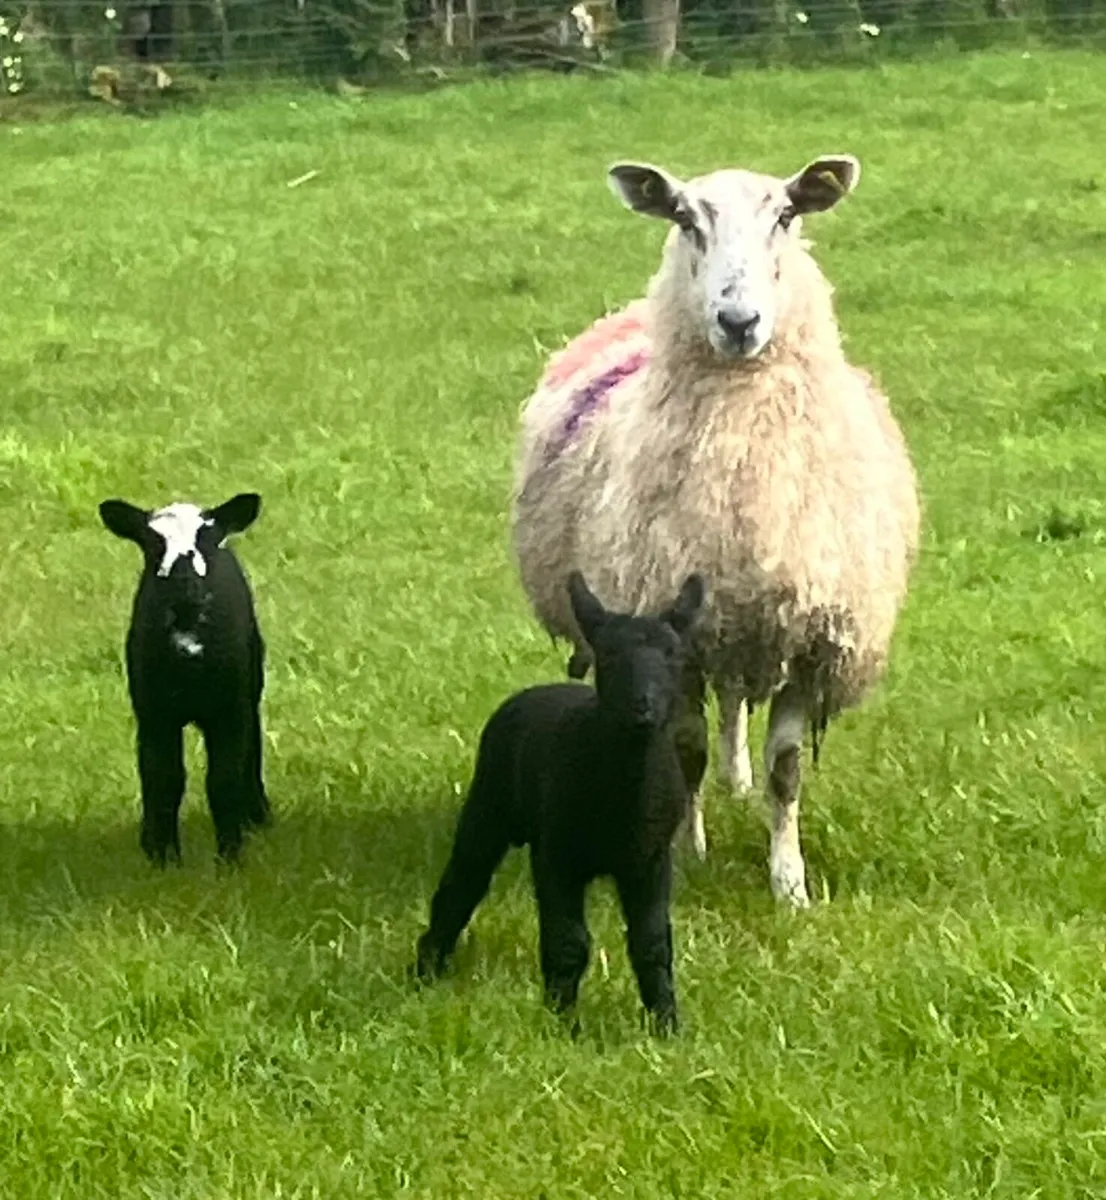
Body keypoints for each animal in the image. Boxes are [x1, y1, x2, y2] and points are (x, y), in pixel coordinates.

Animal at [98, 492, 271, 865]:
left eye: (208, 538)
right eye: (151, 542)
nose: (183, 580)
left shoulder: (228, 710)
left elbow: (223, 780)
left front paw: (229, 858)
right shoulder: (153, 712)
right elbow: (162, 779)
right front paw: (162, 857)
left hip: (249, 684)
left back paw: (257, 815)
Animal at [415, 571, 707, 1035]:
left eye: (673, 655)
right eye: (608, 655)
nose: (642, 708)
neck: (623, 793)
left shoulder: (650, 861)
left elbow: (653, 944)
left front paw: (666, 1025)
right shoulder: (556, 855)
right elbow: (568, 942)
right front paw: (563, 1023)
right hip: (487, 807)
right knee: (461, 885)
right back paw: (426, 969)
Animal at [512, 154, 921, 907]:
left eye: (787, 215)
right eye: (683, 218)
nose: (738, 321)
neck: (743, 450)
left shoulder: (811, 639)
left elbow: (786, 769)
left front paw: (789, 883)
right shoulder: (682, 640)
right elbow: (686, 754)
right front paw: (687, 850)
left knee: (736, 715)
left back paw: (741, 781)